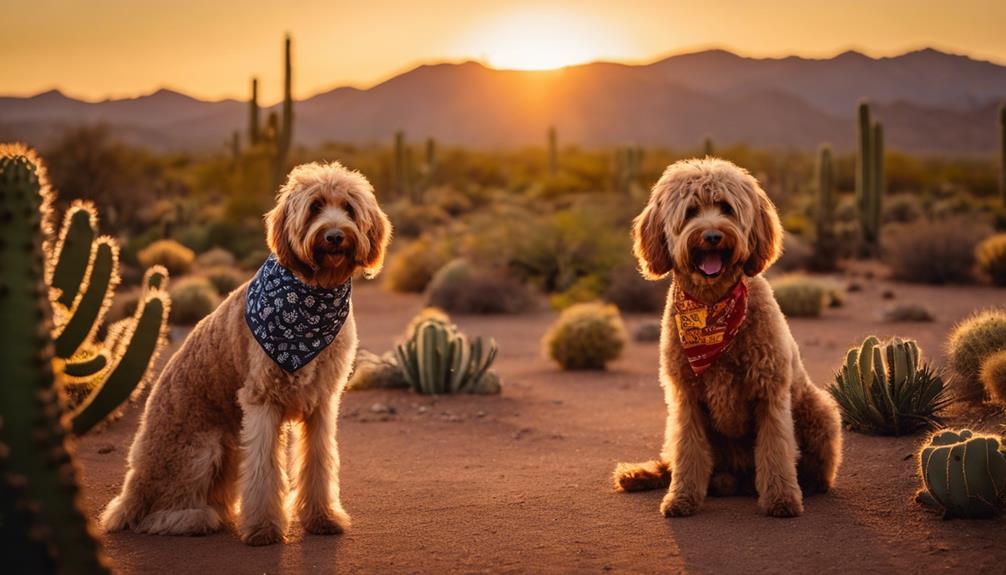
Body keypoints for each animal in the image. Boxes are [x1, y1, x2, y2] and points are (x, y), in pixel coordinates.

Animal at [102, 160, 390, 542]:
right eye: (315, 207)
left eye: (349, 208)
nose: (334, 236)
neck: (312, 296)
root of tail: (130, 493)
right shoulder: (262, 401)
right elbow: (264, 474)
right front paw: (264, 529)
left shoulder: (321, 404)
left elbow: (320, 462)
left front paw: (323, 518)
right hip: (203, 449)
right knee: (158, 515)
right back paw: (198, 518)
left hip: (229, 445)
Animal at [611, 159, 841, 518]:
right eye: (690, 211)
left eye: (727, 208)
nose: (712, 235)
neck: (712, 307)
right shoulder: (686, 399)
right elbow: (687, 452)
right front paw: (681, 498)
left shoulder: (769, 394)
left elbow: (776, 450)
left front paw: (782, 499)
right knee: (672, 459)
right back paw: (641, 474)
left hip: (818, 410)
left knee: (812, 463)